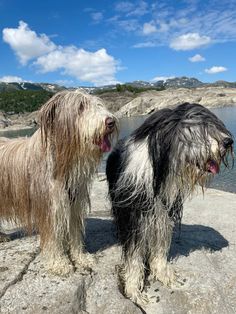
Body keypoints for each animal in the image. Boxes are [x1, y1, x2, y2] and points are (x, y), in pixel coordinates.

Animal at [107, 103, 234, 304]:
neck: (158, 170)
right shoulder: (134, 218)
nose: (229, 142)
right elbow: (134, 257)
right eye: (199, 129)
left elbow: (160, 246)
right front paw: (134, 291)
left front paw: (164, 275)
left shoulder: (163, 212)